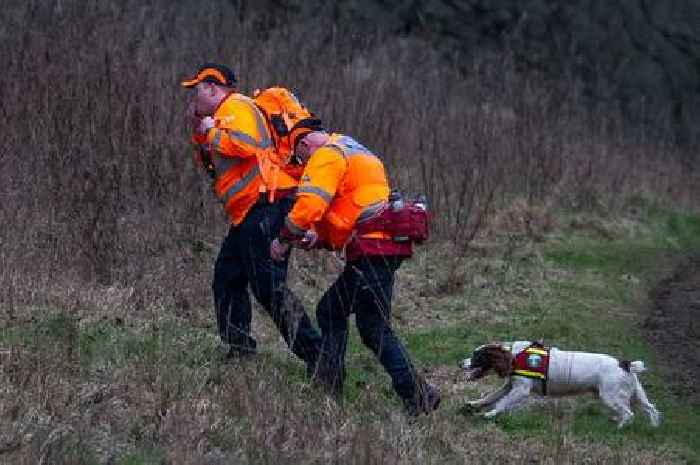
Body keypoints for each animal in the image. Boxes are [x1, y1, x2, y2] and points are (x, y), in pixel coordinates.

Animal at [462, 338, 660, 426]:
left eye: (477, 356)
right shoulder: (510, 386)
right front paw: (473, 404)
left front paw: (489, 415)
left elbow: (501, 403)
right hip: (634, 394)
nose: (460, 363)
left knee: (629, 414)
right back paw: (652, 426)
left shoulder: (521, 390)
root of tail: (626, 364)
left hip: (610, 395)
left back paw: (618, 428)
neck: (515, 356)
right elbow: (490, 397)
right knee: (651, 409)